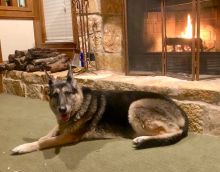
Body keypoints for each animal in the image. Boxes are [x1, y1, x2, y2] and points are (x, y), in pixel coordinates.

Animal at [11, 67, 188, 155]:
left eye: (67, 93)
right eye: (55, 95)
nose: (62, 109)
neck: (80, 105)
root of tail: (181, 111)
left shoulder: (69, 136)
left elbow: (46, 142)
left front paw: (25, 146)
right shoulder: (61, 125)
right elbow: (52, 130)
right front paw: (43, 135)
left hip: (135, 106)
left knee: (174, 131)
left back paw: (143, 139)